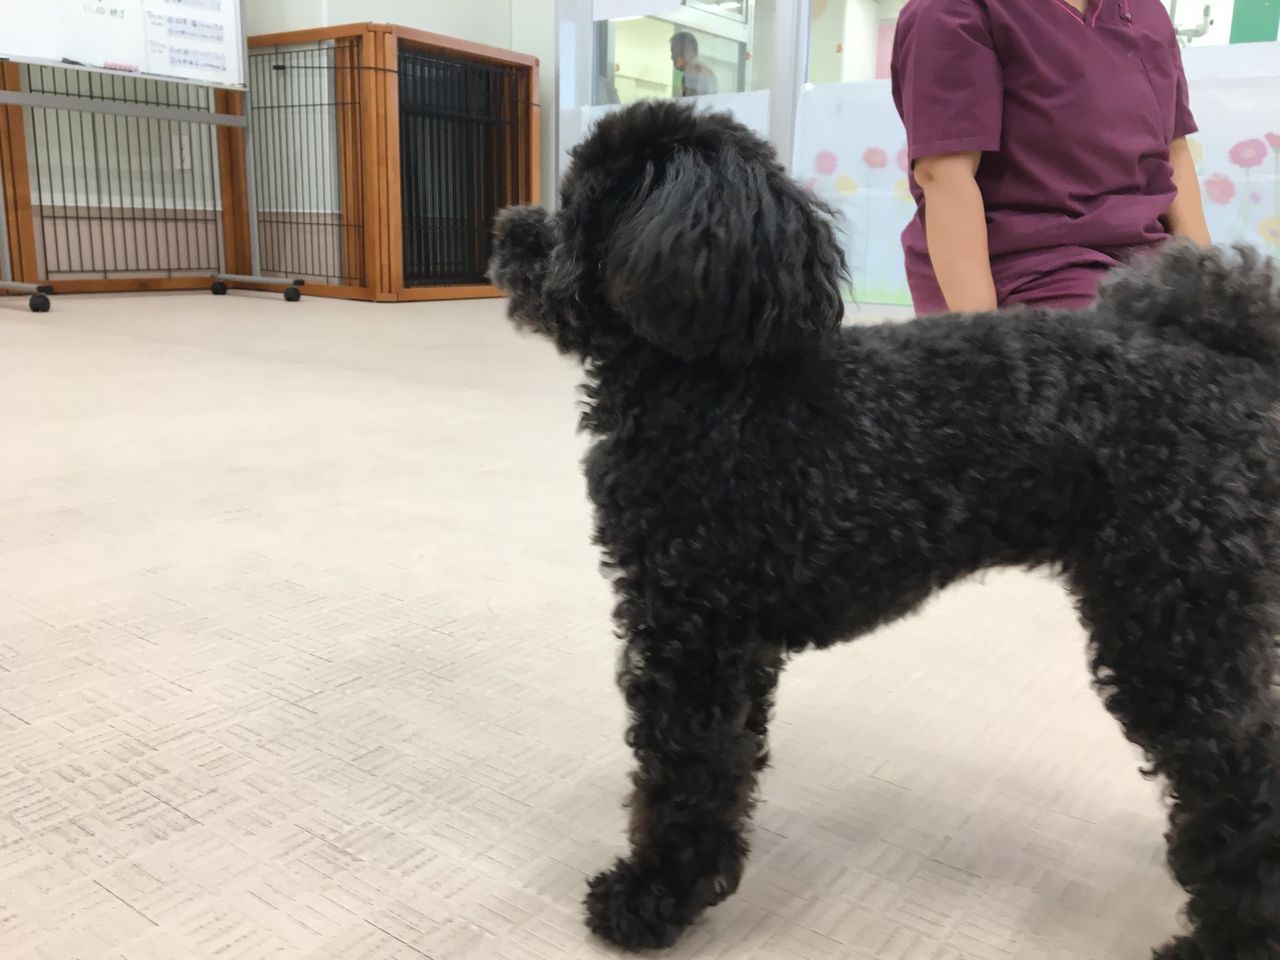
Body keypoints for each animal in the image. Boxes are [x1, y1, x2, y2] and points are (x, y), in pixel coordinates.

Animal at [488, 100, 1280, 959]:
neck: (712, 382)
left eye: (581, 208)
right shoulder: (738, 642)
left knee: (1242, 777)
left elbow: (681, 770)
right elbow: (730, 762)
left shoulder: (690, 626)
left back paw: (1229, 936)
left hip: (1173, 616)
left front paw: (654, 896)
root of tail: (1232, 361)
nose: (508, 229)